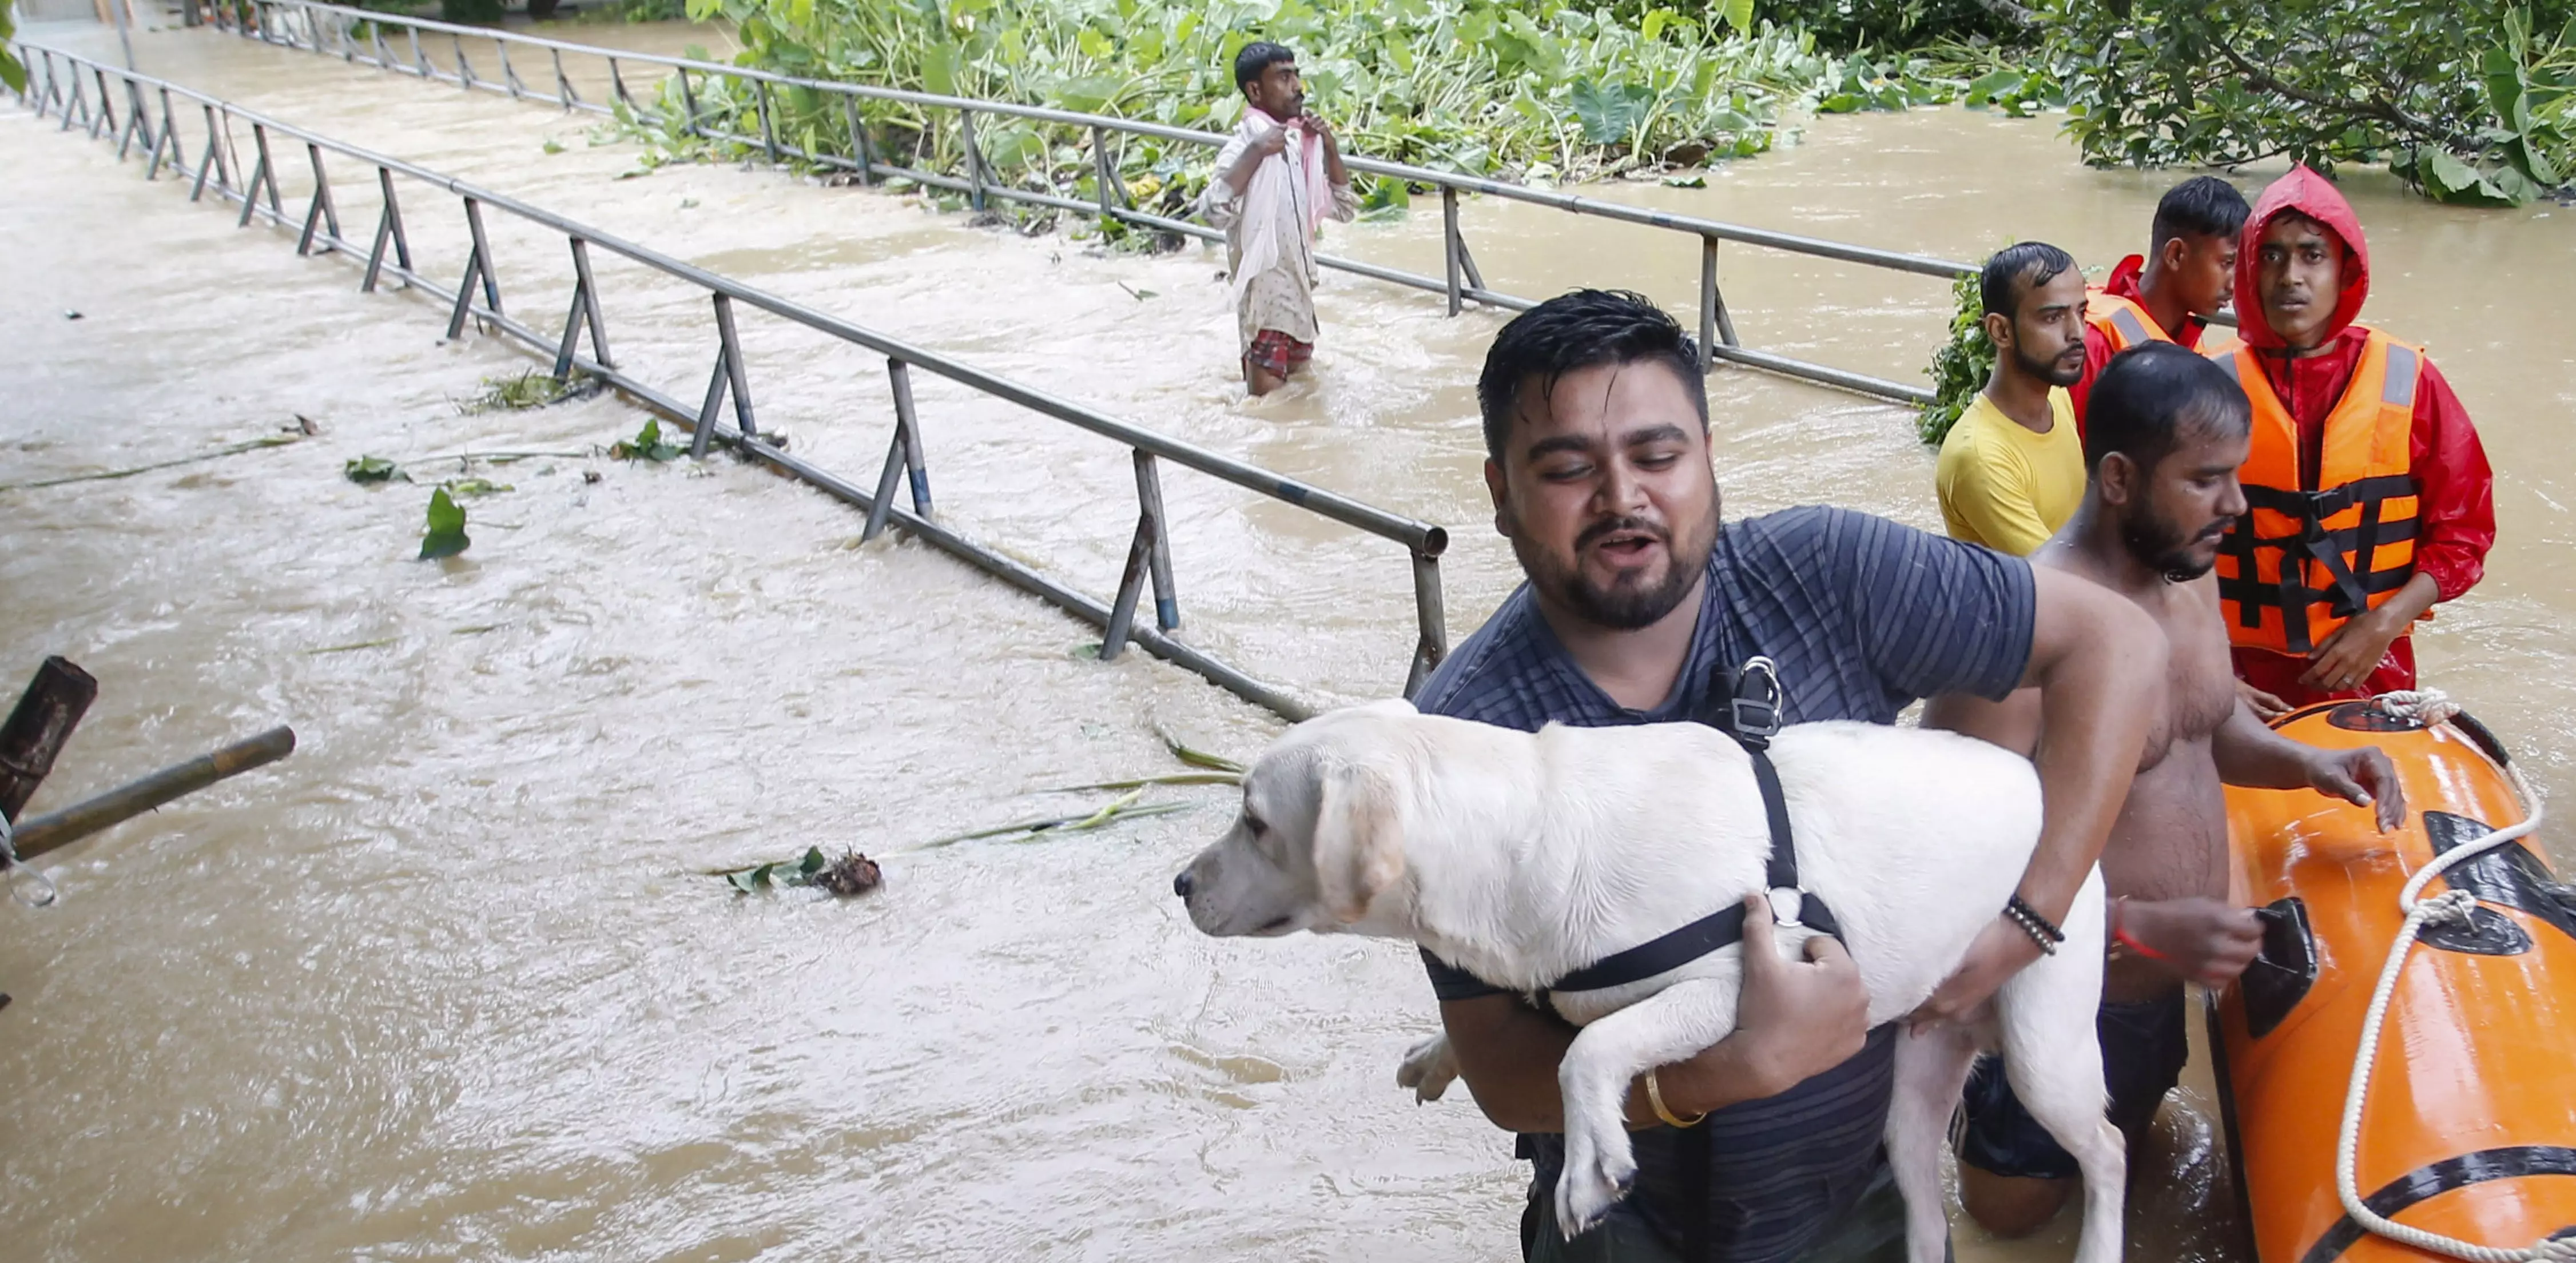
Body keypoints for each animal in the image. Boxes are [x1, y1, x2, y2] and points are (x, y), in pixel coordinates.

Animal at [1179, 696, 2122, 1263]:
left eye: (1255, 822)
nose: (1181, 884)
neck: (1528, 837)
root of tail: (2036, 776)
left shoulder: (1748, 982)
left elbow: (1591, 1049)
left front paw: (1591, 1162)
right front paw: (1442, 1050)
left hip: (2044, 1049)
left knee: (2107, 1150)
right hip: (1913, 1094)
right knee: (1926, 1196)